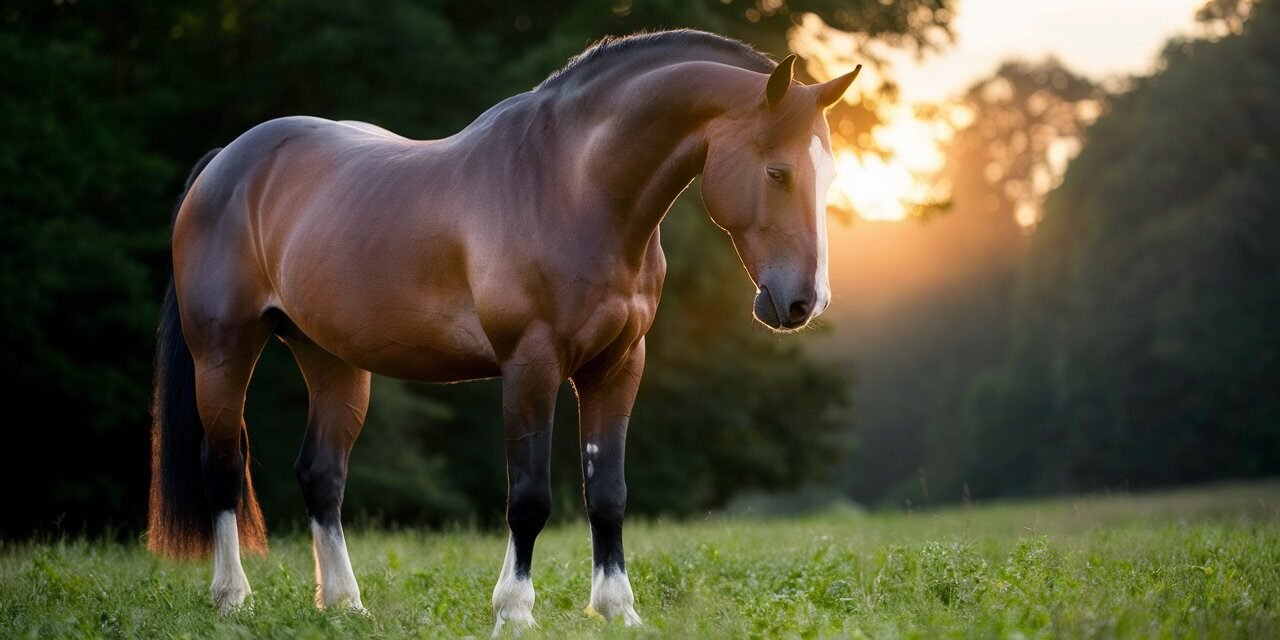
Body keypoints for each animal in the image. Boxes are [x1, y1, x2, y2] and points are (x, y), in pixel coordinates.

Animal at [146, 29, 859, 633]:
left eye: (827, 174)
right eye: (777, 172)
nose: (804, 302)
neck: (574, 187)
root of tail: (227, 162)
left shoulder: (618, 364)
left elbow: (608, 492)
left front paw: (618, 611)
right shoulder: (530, 364)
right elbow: (530, 497)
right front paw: (514, 611)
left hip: (332, 359)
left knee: (321, 475)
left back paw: (346, 607)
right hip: (223, 351)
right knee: (223, 466)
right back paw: (232, 600)